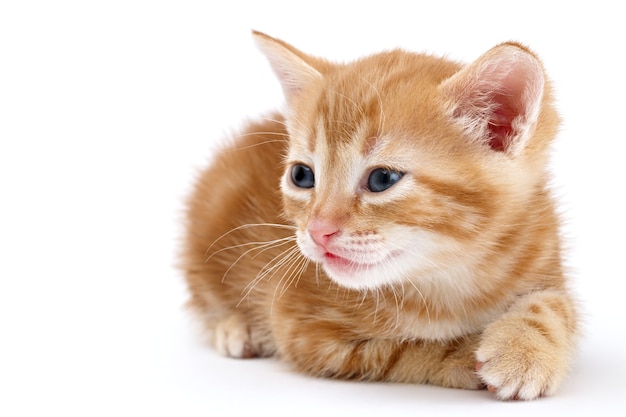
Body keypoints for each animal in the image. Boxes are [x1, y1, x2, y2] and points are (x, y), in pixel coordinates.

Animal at [179, 30, 576, 400]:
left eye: (382, 179)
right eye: (302, 176)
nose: (318, 230)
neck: (452, 275)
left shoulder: (541, 251)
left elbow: (556, 305)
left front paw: (525, 350)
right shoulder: (305, 333)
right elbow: (405, 347)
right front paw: (467, 352)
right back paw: (235, 327)